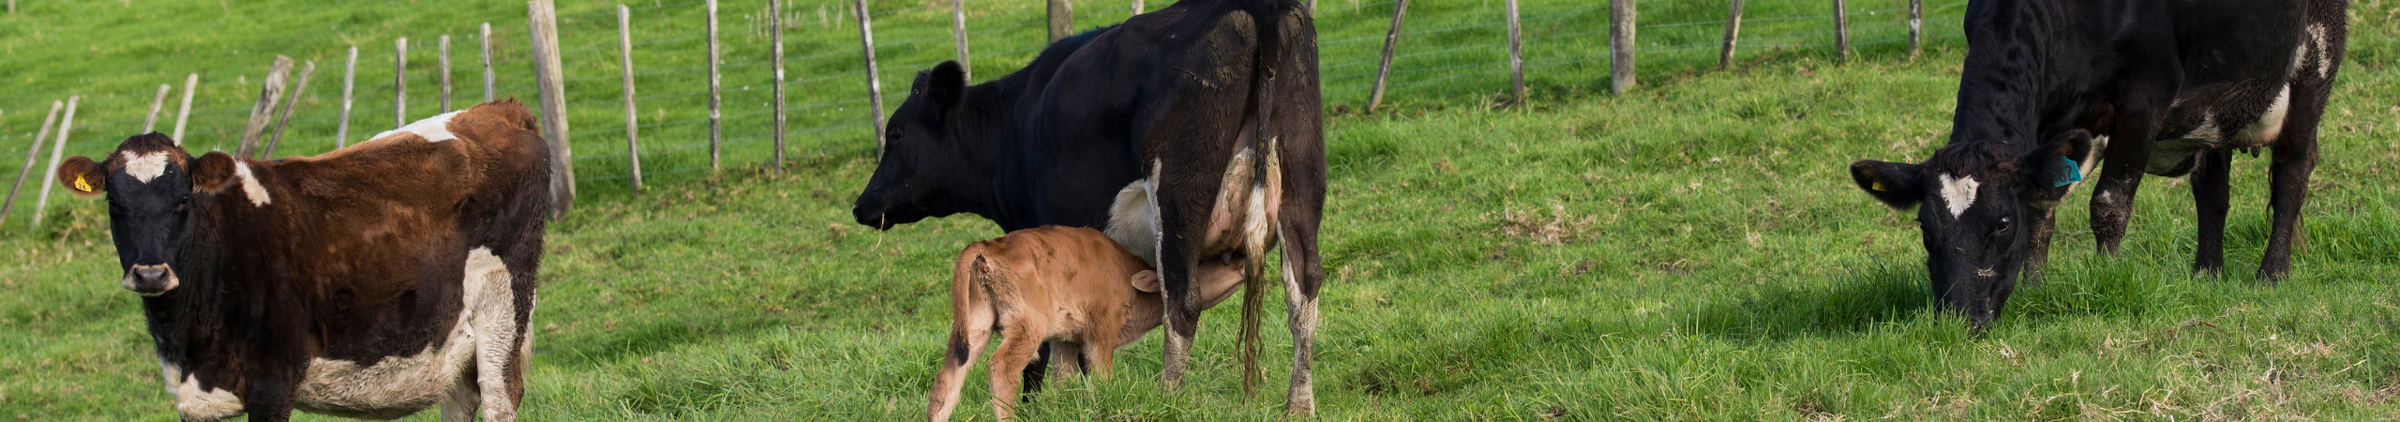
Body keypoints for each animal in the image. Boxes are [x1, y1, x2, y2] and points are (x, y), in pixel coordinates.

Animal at [52, 101, 551, 422]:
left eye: (182, 201)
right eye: (115, 206)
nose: (151, 273)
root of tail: (501, 110)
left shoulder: (274, 382)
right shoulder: (194, 398)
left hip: (503, 310)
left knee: (500, 399)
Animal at [926, 226, 1250, 421]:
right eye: (1209, 262)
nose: (1242, 258)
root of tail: (988, 245)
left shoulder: (1066, 339)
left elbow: (1065, 380)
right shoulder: (1101, 332)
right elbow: (1102, 377)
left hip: (975, 325)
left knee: (948, 376)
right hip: (1028, 326)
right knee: (1001, 368)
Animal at [1847, 0, 2348, 329]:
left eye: (2002, 224)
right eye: (1925, 228)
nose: (1959, 320)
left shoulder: (2145, 100)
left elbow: (2109, 204)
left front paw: (2105, 273)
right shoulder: (2052, 120)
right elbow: (2042, 210)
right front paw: (2035, 287)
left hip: (2315, 61)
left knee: (2292, 173)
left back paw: (2272, 274)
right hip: (2218, 107)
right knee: (2212, 191)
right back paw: (2207, 273)